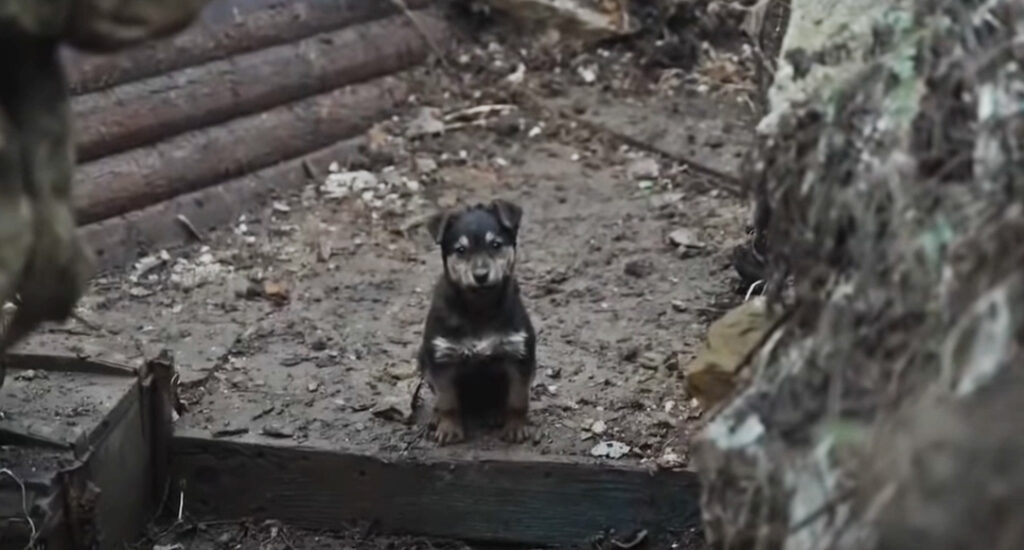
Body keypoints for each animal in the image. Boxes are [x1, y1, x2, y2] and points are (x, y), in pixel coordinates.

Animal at [417, 199, 540, 444]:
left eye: (495, 244)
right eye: (461, 250)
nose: (481, 275)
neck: (479, 307)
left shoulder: (519, 354)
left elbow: (517, 400)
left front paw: (515, 428)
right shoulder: (442, 358)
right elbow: (447, 402)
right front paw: (449, 430)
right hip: (422, 359)